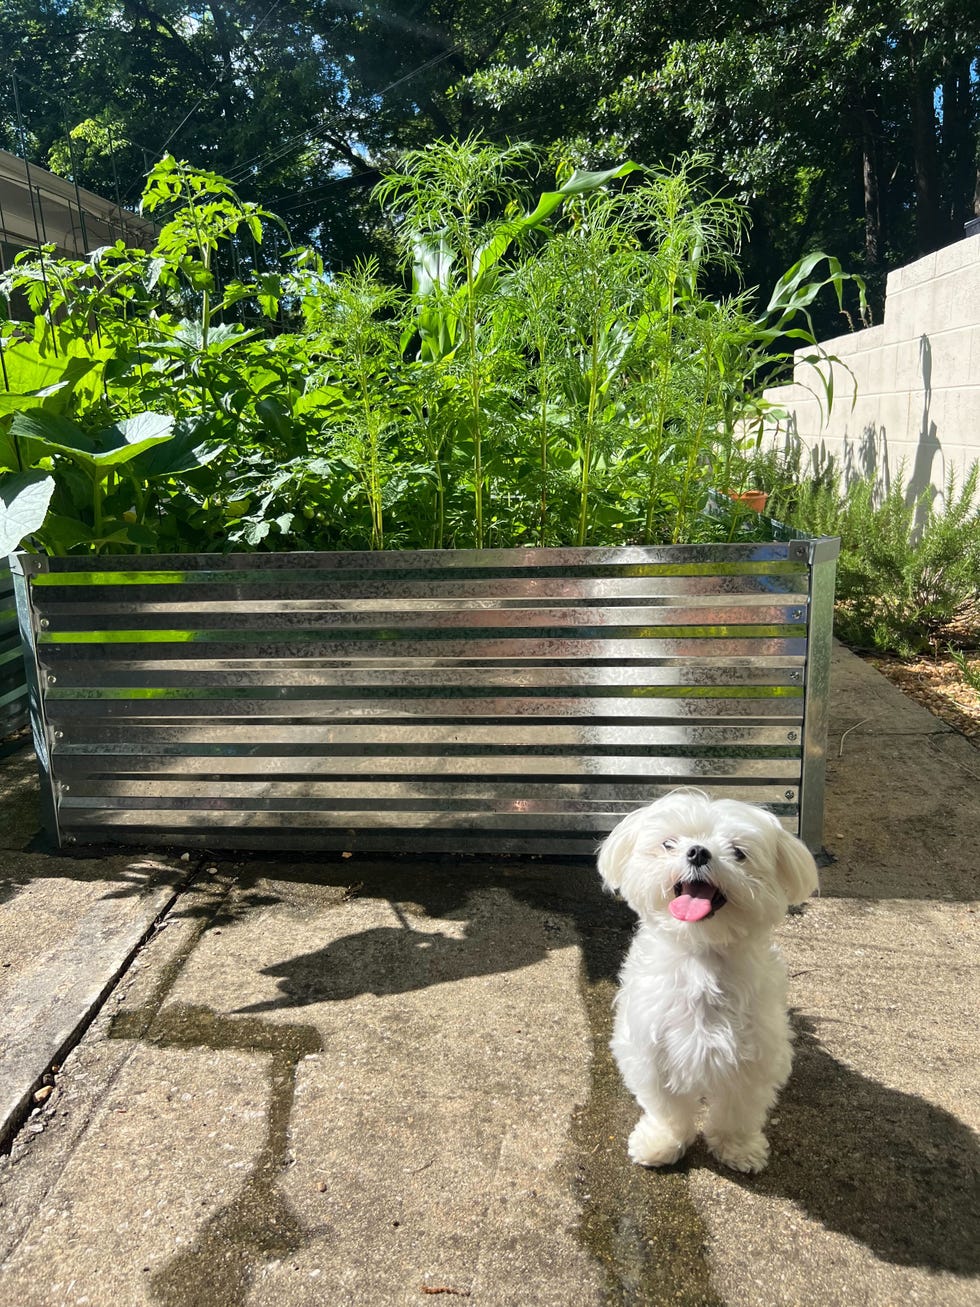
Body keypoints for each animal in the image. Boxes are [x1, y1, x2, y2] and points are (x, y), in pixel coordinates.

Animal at [598, 784, 820, 1176]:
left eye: (739, 852)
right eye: (669, 843)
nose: (698, 851)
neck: (701, 956)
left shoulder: (753, 1057)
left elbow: (738, 1111)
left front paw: (738, 1148)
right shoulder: (651, 1051)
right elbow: (666, 1108)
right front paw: (662, 1142)